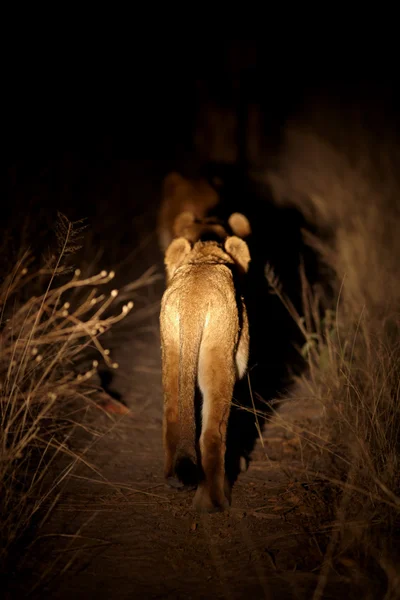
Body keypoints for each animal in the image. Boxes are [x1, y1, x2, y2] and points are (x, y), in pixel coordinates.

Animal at [159, 230, 250, 510]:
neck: (204, 258)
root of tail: (192, 302)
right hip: (218, 360)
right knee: (211, 435)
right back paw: (214, 502)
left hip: (172, 353)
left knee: (172, 419)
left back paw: (173, 479)